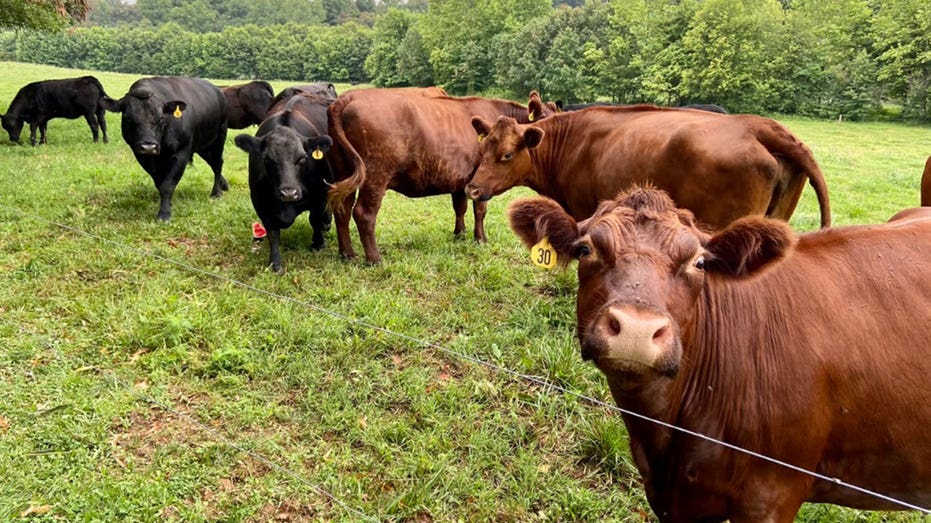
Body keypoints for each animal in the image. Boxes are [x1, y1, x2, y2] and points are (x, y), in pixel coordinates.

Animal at [105, 76, 228, 221]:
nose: (148, 146)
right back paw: (224, 184)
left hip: (218, 140)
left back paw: (216, 193)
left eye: (161, 118)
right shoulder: (143, 157)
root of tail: (217, 91)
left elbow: (167, 185)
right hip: (203, 146)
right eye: (127, 117)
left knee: (217, 164)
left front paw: (164, 214)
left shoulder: (181, 154)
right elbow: (159, 183)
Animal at [328, 90, 556, 264]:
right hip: (375, 176)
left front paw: (460, 233)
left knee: (342, 209)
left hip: (344, 171)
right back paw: (374, 259)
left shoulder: (461, 179)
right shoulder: (481, 179)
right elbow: (480, 210)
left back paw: (347, 254)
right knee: (364, 213)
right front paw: (480, 238)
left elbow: (460, 207)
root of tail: (348, 96)